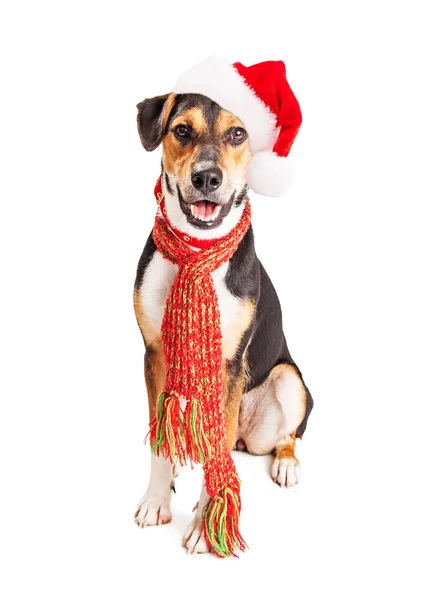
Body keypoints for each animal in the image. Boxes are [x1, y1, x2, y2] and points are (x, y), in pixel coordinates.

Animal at [132, 90, 312, 552]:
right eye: (182, 130)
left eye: (237, 134)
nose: (207, 178)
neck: (198, 252)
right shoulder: (154, 354)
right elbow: (158, 439)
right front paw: (157, 501)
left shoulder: (231, 363)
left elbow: (216, 457)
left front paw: (203, 526)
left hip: (289, 381)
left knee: (284, 436)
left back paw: (286, 465)